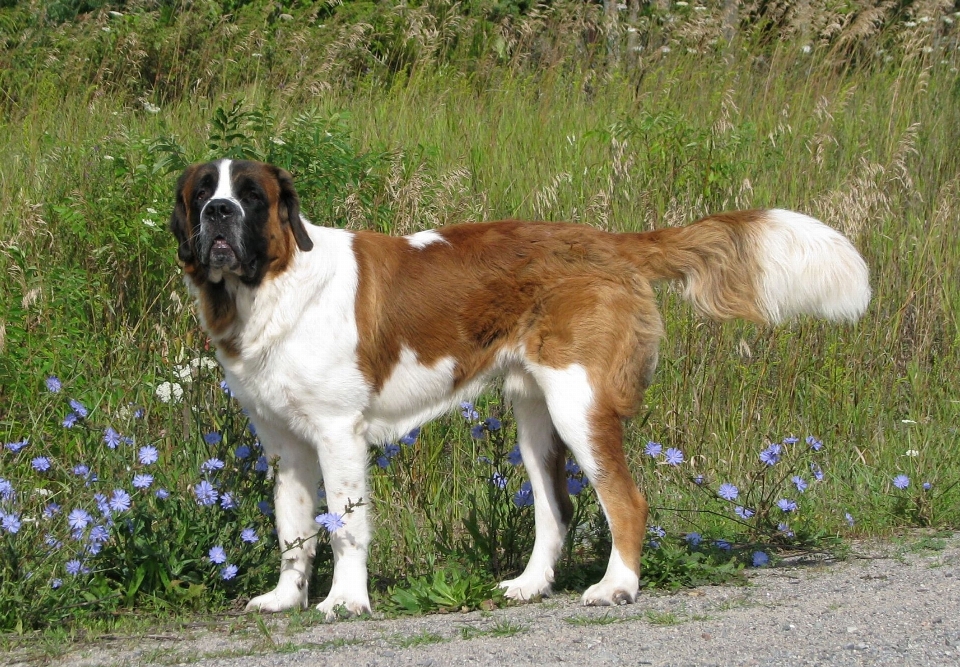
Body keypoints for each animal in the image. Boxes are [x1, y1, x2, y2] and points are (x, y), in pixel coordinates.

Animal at [169, 159, 872, 620]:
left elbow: (344, 524)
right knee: (555, 507)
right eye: (204, 191)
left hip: (579, 403)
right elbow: (294, 527)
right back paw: (531, 586)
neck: (271, 285)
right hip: (537, 415)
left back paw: (616, 588)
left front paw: (345, 601)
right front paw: (285, 598)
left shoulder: (339, 432)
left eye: (251, 195)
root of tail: (606, 241)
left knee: (625, 500)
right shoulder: (284, 444)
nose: (219, 213)